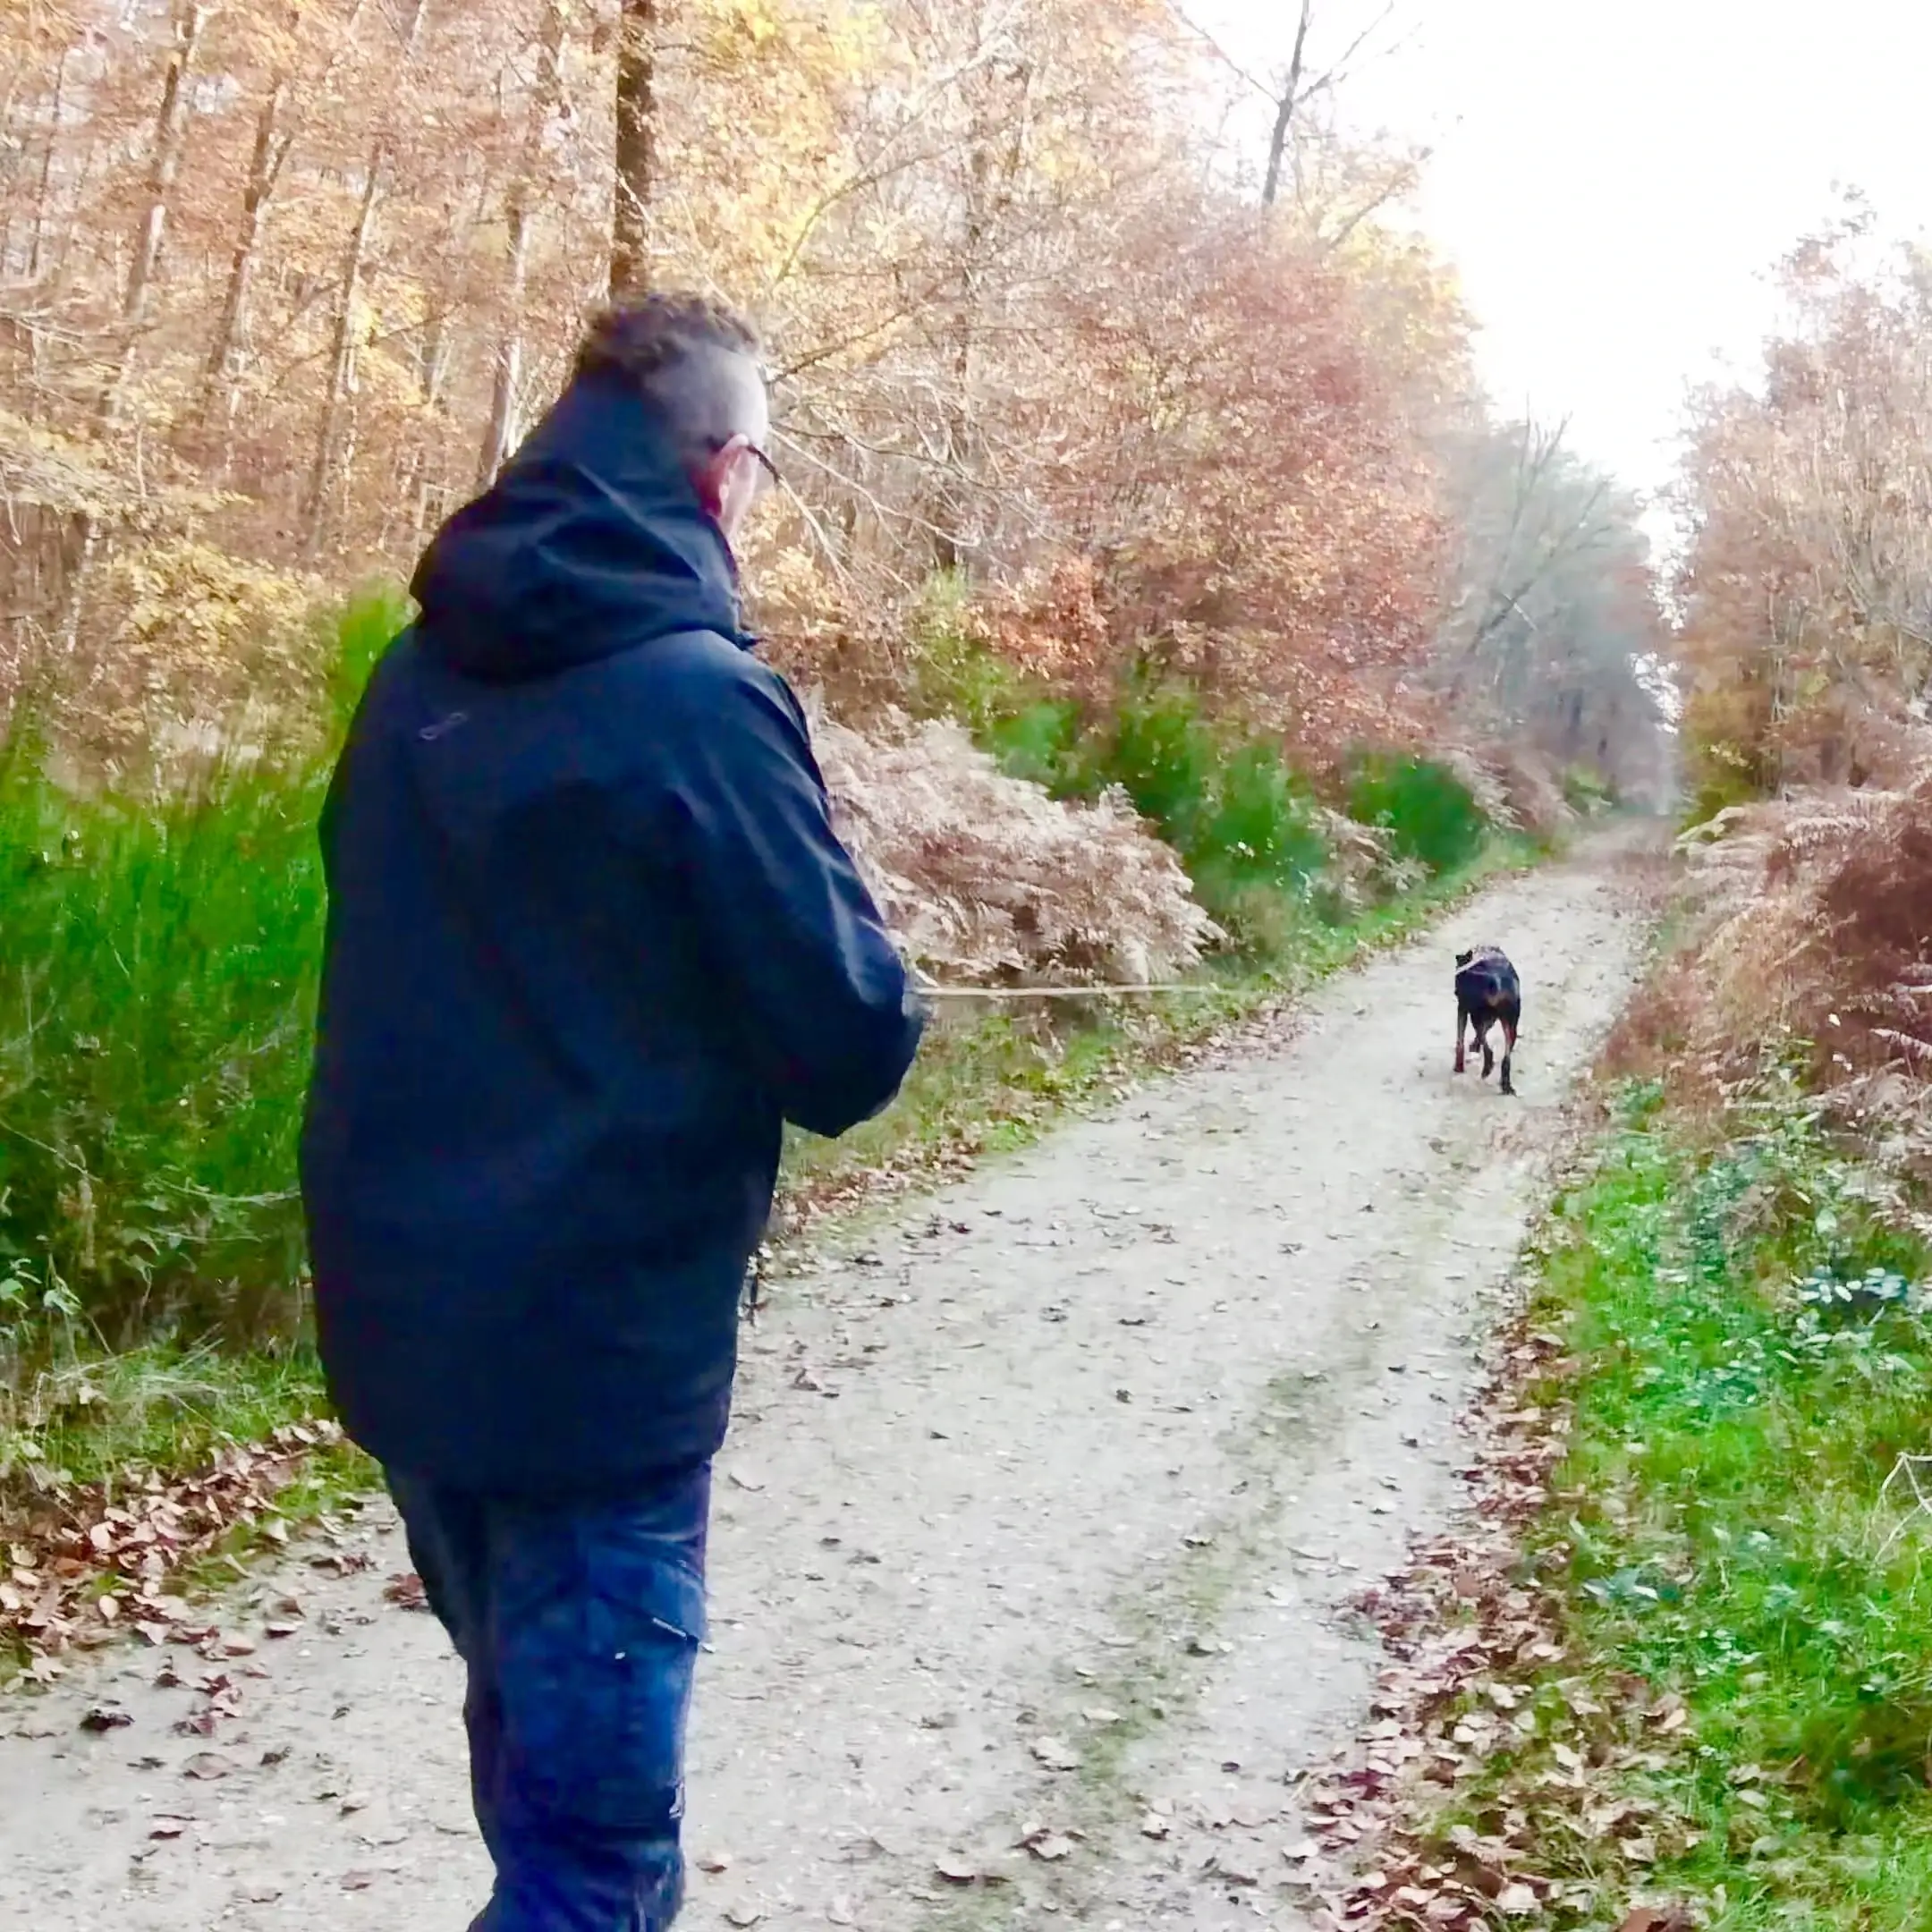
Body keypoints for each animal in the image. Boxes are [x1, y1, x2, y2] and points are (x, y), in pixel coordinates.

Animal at [1453, 943, 1522, 1097]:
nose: (1455, 991)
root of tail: (1497, 982)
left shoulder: (1462, 1009)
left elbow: (1460, 1041)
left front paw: (1458, 1066)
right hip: (1511, 1024)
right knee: (1506, 1058)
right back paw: (1505, 1084)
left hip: (1476, 1016)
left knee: (1488, 1049)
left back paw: (1487, 1069)